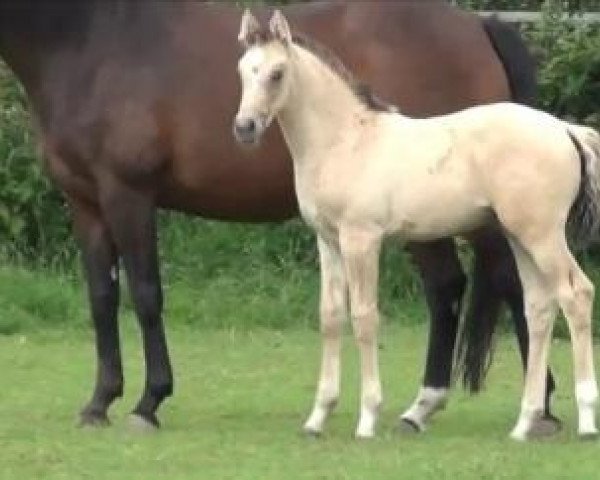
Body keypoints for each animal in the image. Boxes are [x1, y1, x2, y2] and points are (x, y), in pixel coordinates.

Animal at [0, 0, 552, 432]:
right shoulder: (86, 203)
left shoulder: (128, 196)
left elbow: (146, 295)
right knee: (448, 289)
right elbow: (101, 298)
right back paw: (423, 409)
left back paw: (541, 409)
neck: (91, 43)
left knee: (513, 286)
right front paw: (99, 402)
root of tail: (476, 27)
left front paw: (148, 402)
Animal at [233, 9, 600, 440]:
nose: (245, 128)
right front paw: (317, 418)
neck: (346, 139)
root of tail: (565, 129)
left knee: (577, 294)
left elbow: (364, 317)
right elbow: (330, 316)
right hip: (519, 236)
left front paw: (367, 418)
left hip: (542, 235)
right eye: (243, 70)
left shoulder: (362, 239)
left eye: (277, 73)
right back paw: (524, 424)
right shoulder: (328, 240)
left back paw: (586, 419)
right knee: (539, 306)